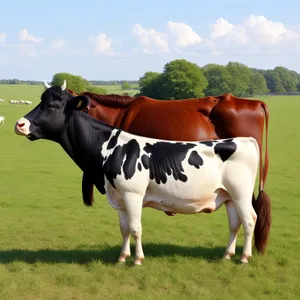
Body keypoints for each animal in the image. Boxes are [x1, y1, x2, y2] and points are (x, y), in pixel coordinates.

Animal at [14, 81, 272, 264]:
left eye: (51, 105)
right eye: (41, 100)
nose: (19, 124)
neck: (110, 148)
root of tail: (244, 140)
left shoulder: (133, 194)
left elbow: (136, 227)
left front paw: (137, 259)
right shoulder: (118, 197)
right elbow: (124, 228)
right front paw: (122, 257)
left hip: (240, 193)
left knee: (250, 219)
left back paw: (244, 257)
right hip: (227, 196)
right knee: (235, 223)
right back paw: (227, 254)